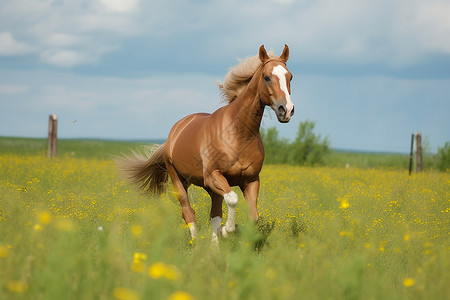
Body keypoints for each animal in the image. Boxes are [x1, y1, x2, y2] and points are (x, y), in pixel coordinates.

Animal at [118, 44, 296, 241]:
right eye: (267, 77)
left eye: (290, 77)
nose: (286, 110)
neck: (239, 135)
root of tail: (176, 129)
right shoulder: (213, 176)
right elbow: (232, 199)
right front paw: (227, 230)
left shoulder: (250, 180)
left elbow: (252, 216)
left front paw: (229, 233)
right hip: (179, 180)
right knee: (188, 212)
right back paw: (196, 242)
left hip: (211, 188)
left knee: (215, 215)